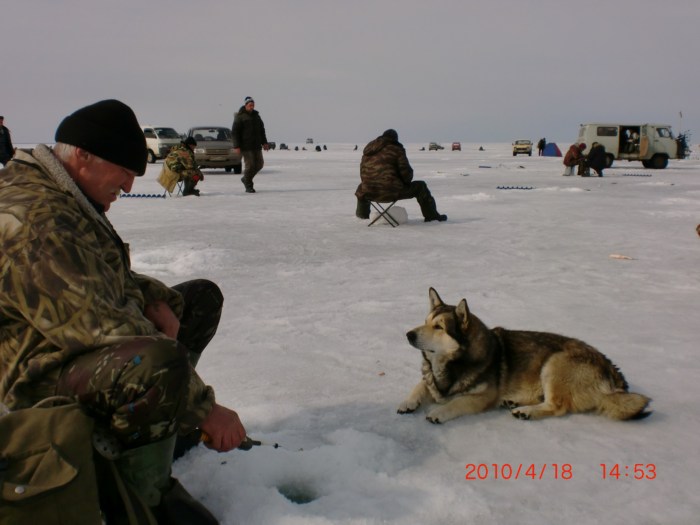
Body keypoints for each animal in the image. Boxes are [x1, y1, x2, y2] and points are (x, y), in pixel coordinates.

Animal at [400, 288, 652, 424]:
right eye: (425, 322)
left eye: (439, 327)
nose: (408, 334)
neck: (451, 362)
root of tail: (612, 372)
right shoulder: (432, 380)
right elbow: (421, 385)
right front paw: (408, 401)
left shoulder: (483, 397)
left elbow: (457, 402)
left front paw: (439, 411)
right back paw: (514, 401)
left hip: (554, 363)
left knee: (557, 405)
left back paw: (525, 411)